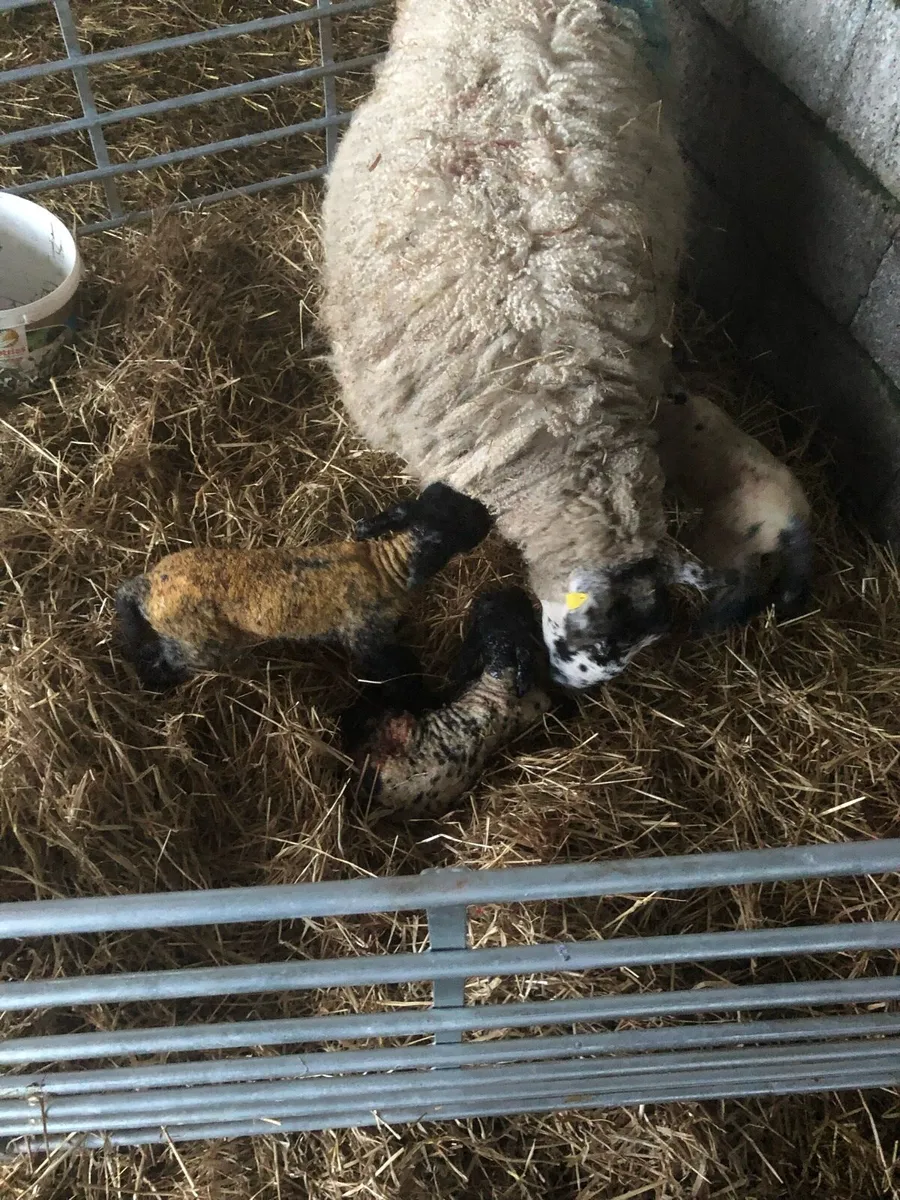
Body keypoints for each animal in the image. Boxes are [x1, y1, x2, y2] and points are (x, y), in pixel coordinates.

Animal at [114, 483, 493, 692]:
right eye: (462, 521)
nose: (488, 516)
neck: (387, 567)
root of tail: (148, 588)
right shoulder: (366, 638)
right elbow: (399, 667)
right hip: (194, 647)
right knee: (160, 665)